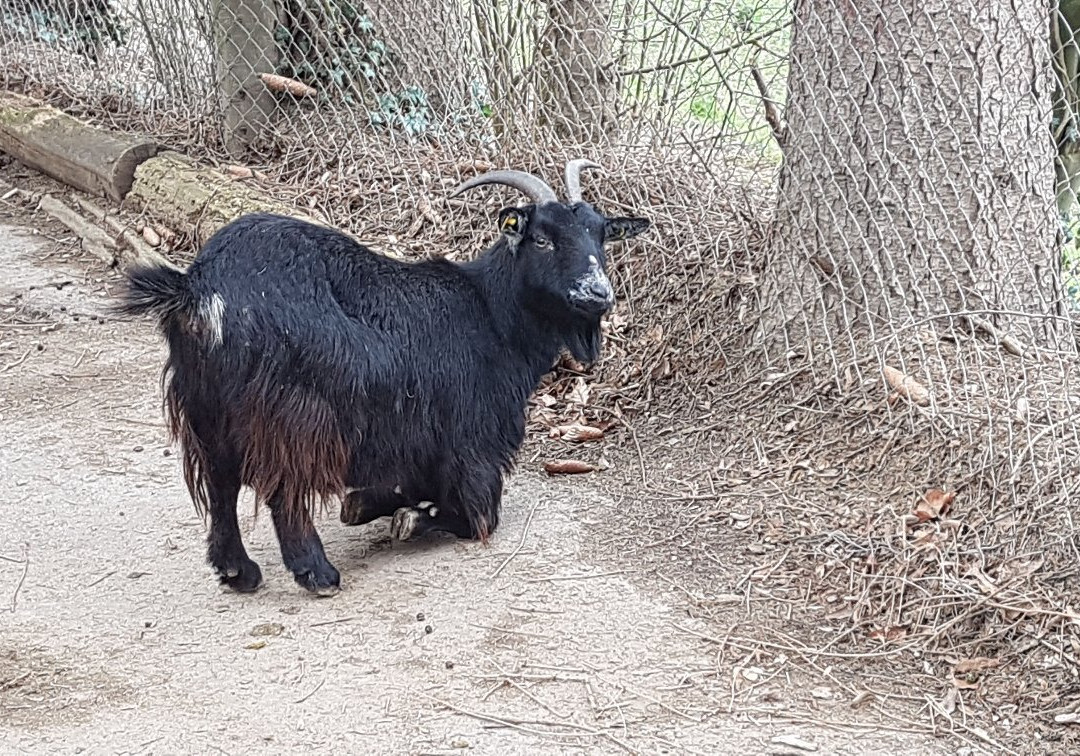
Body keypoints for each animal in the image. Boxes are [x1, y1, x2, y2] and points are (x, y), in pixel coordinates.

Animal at [116, 160, 648, 596]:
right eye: (542, 237)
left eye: (601, 235)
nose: (598, 293)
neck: (491, 314)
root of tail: (198, 287)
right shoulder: (474, 440)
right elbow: (480, 515)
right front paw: (412, 519)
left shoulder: (417, 444)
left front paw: (369, 505)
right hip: (296, 410)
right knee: (282, 489)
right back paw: (316, 573)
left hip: (206, 405)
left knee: (221, 485)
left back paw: (237, 571)